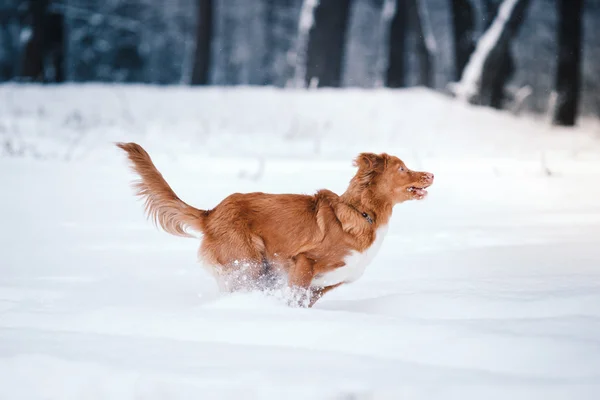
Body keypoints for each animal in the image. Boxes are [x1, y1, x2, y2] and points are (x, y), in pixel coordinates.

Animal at [117, 143, 434, 306]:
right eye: (402, 168)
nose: (431, 174)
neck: (362, 213)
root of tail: (212, 213)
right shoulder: (304, 262)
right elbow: (295, 295)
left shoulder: (325, 284)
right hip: (248, 263)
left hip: (261, 271)